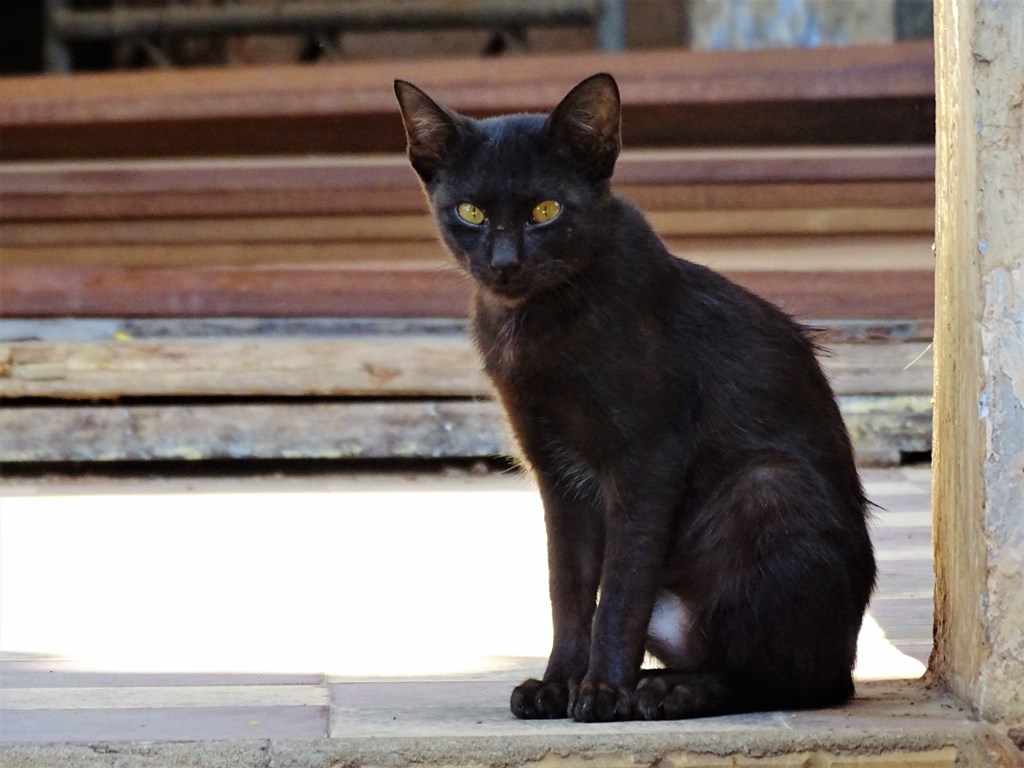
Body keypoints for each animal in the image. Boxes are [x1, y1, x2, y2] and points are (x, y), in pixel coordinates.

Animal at [395, 72, 876, 720]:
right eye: (470, 212)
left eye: (546, 210)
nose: (504, 263)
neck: (536, 327)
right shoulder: (557, 475)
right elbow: (569, 592)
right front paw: (558, 685)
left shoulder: (647, 461)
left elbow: (620, 589)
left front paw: (600, 692)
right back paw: (656, 681)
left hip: (769, 485)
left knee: (797, 682)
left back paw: (670, 692)